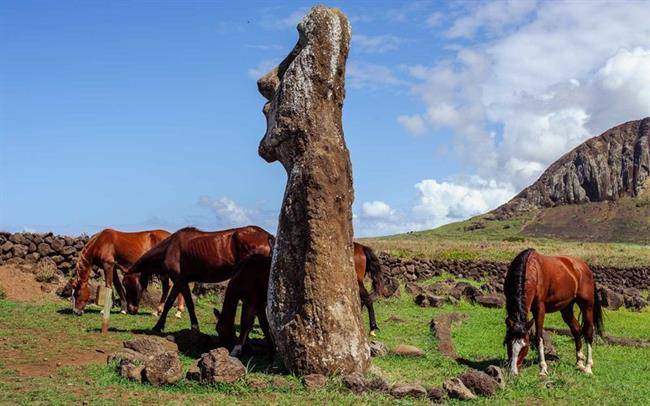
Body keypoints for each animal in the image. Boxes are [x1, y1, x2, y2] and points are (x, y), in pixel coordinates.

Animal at [123, 225, 272, 334]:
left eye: (126, 284)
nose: (130, 309)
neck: (169, 248)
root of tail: (267, 236)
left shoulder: (179, 280)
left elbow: (173, 303)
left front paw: (159, 326)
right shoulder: (183, 281)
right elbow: (185, 303)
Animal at [214, 243, 390, 356]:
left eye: (219, 329)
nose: (222, 345)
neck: (245, 272)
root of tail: (360, 247)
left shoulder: (251, 302)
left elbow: (246, 324)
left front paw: (236, 350)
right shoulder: (259, 304)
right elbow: (263, 325)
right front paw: (271, 347)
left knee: (366, 300)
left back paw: (371, 327)